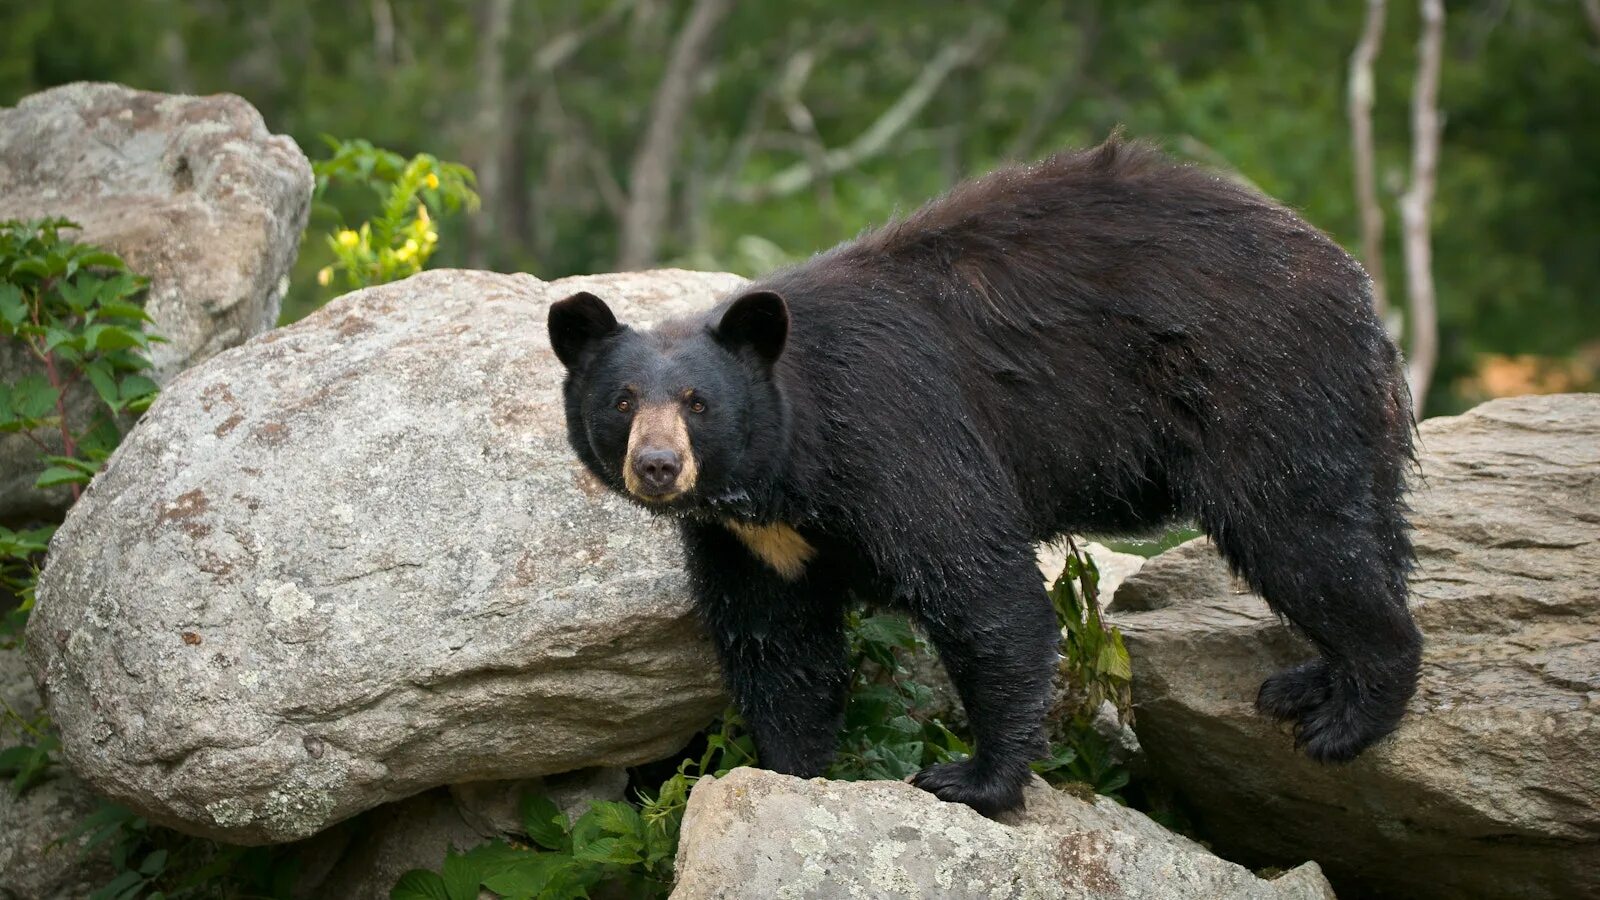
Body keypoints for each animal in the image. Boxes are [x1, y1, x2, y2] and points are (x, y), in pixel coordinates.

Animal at [550, 136, 1427, 816]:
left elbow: (982, 592)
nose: (658, 466)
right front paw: (791, 769)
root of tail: (1356, 286)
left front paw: (974, 778)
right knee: (1362, 530)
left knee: (1301, 535)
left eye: (697, 402)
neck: (787, 469)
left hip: (1263, 389)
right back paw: (1312, 681)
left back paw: (1349, 713)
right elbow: (778, 646)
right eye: (623, 400)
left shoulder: (896, 435)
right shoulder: (749, 540)